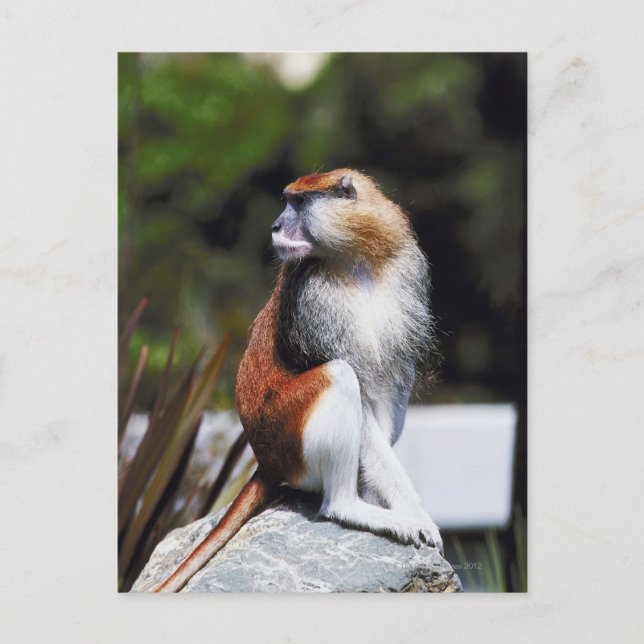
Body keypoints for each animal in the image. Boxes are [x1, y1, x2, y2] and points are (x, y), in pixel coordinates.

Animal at [154, 169, 442, 592]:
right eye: (287, 200)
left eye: (299, 202)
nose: (276, 226)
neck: (358, 257)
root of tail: (265, 462)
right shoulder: (314, 300)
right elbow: (359, 397)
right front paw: (416, 516)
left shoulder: (407, 274)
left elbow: (389, 384)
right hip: (288, 434)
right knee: (339, 375)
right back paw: (349, 506)